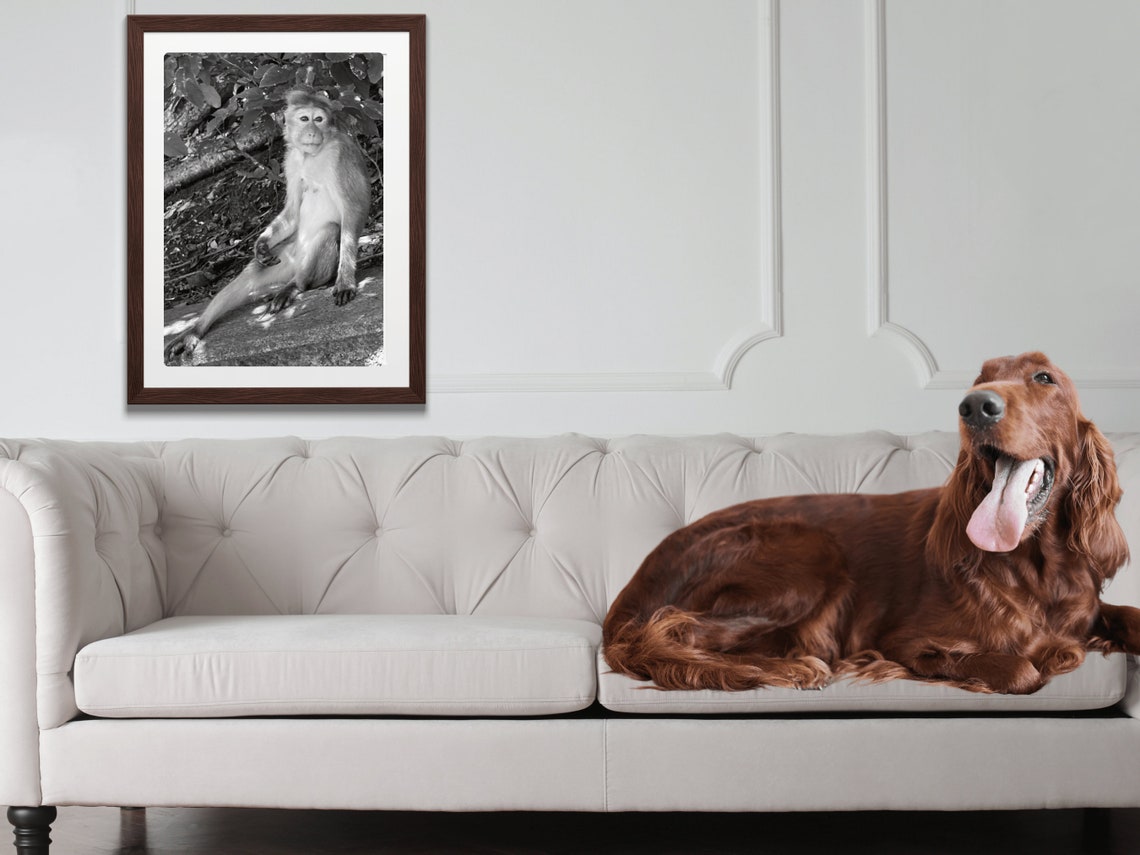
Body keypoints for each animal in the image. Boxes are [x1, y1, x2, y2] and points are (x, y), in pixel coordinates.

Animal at [165, 89, 372, 362]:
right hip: (286, 257)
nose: (311, 132)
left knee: (329, 232)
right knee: (251, 275)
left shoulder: (341, 155)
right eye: (305, 119)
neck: (312, 155)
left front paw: (346, 281)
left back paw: (295, 286)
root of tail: (296, 266)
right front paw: (261, 244)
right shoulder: (291, 160)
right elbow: (292, 210)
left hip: (313, 267)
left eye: (319, 119)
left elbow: (354, 207)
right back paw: (195, 330)